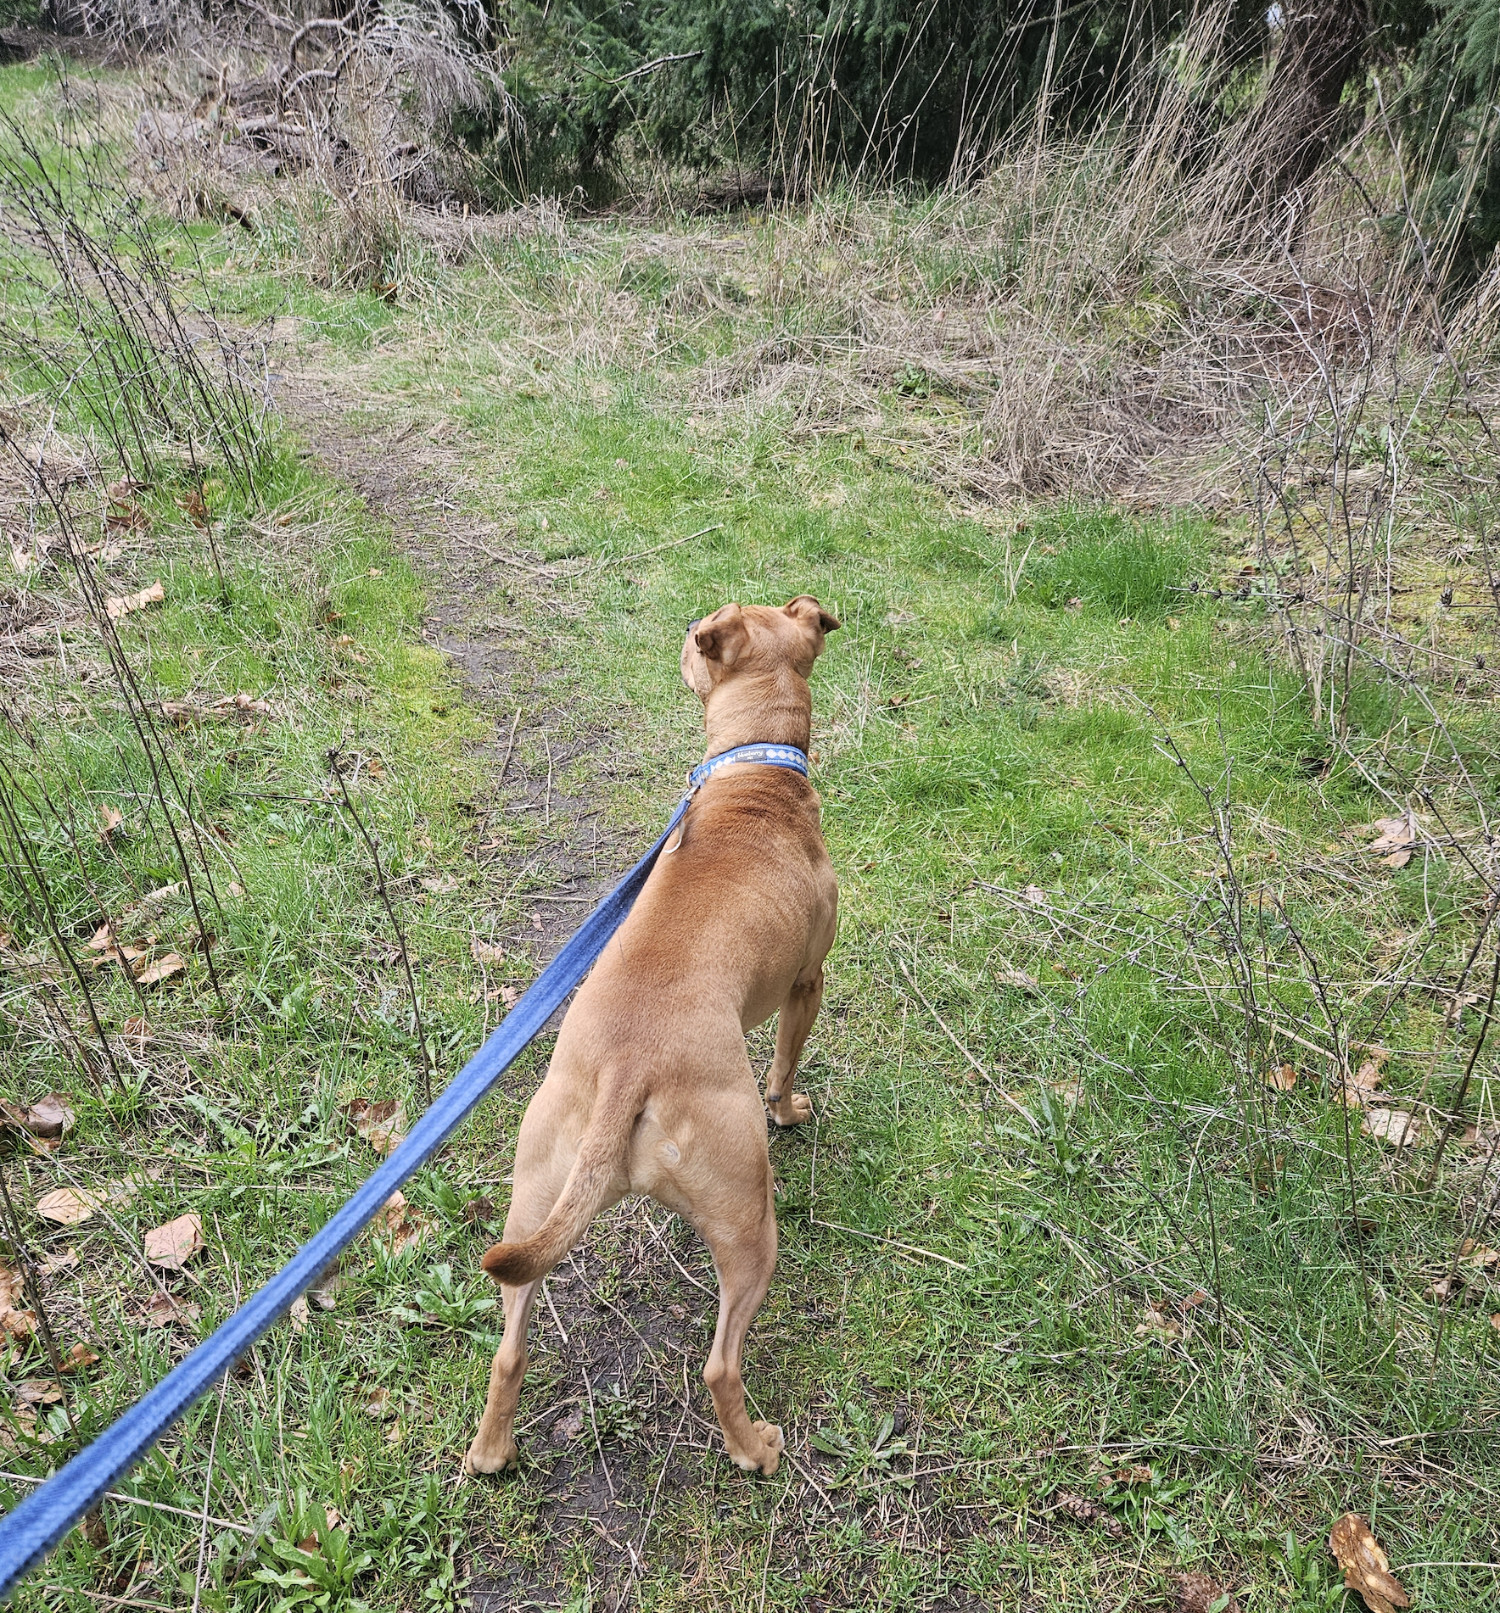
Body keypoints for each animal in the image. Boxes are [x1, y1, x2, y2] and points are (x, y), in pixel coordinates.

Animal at [461, 593, 838, 1477]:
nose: (684, 634)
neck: (755, 771)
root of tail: (630, 1070)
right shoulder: (806, 985)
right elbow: (786, 1062)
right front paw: (792, 1109)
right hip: (749, 1221)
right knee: (720, 1364)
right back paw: (755, 1447)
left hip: (536, 1193)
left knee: (509, 1345)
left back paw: (491, 1452)